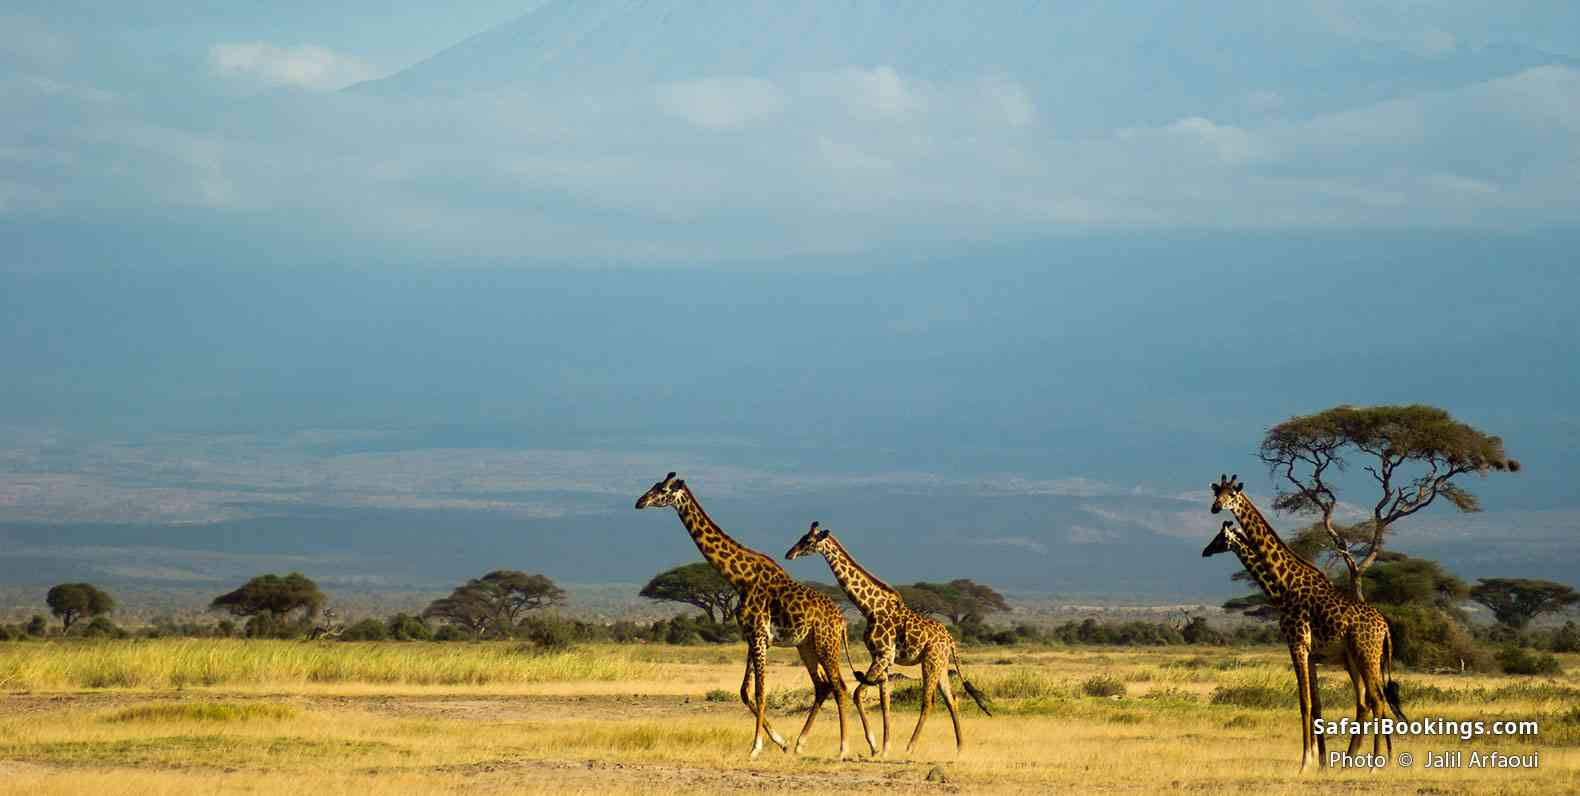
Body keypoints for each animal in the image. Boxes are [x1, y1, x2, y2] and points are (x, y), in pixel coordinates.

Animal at [635, 472, 850, 758]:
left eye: (664, 490)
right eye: (655, 485)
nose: (640, 501)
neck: (740, 579)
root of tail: (842, 621)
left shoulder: (759, 635)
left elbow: (760, 692)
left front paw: (755, 747)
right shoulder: (752, 636)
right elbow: (745, 691)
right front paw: (780, 741)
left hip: (827, 645)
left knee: (839, 686)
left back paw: (843, 748)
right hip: (806, 646)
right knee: (823, 686)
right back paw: (800, 744)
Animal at [785, 522, 991, 758]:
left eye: (808, 541)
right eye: (801, 537)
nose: (789, 553)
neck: (869, 608)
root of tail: (950, 639)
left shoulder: (883, 655)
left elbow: (859, 694)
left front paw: (874, 745)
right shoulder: (882, 657)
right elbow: (885, 702)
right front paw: (884, 748)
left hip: (930, 661)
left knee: (928, 702)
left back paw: (910, 747)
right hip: (941, 663)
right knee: (952, 699)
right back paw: (960, 748)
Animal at [1204, 474, 1406, 772]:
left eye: (1230, 496)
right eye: (1216, 494)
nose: (1215, 508)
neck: (1283, 585)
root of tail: (1386, 627)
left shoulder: (1297, 644)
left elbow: (1304, 703)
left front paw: (1305, 763)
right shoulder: (1311, 652)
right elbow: (1317, 704)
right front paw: (1320, 762)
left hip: (1366, 655)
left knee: (1377, 700)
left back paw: (1375, 763)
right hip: (1356, 659)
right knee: (1366, 702)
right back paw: (1356, 761)